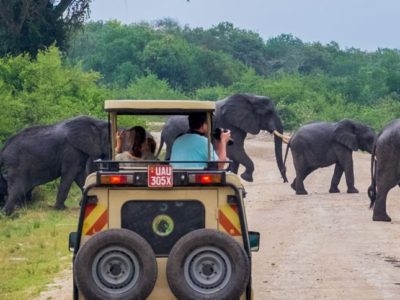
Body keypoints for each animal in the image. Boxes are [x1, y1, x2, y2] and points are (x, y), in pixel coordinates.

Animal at [155, 93, 290, 183]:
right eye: (268, 113)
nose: (285, 180)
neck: (250, 97)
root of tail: (163, 128)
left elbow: (235, 151)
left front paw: (233, 174)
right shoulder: (229, 123)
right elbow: (234, 149)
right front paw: (246, 177)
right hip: (172, 135)